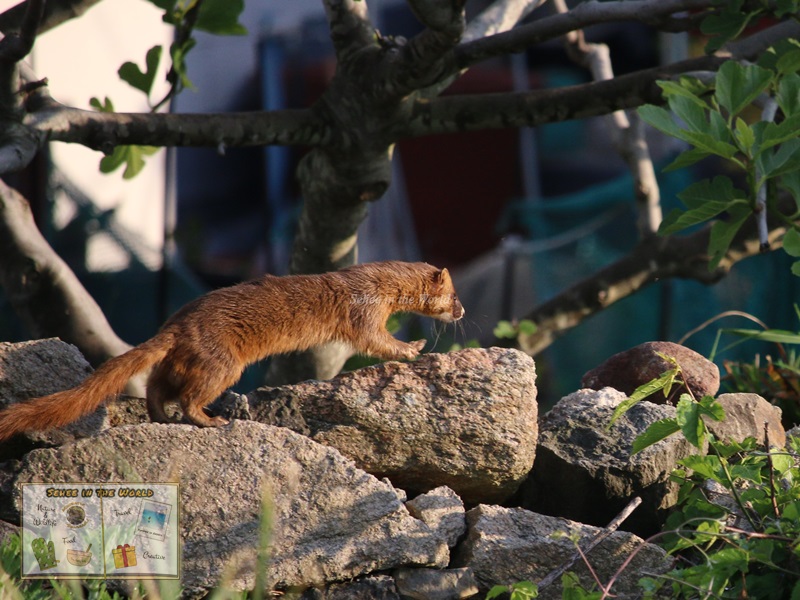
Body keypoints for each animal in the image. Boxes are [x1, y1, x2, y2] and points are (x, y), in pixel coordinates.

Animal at [0, 262, 462, 440]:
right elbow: (373, 340)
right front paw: (413, 347)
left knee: (157, 386)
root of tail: (177, 324)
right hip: (223, 361)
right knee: (189, 394)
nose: (462, 310)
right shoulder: (364, 310)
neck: (376, 281)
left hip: (184, 357)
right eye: (454, 296)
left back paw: (161, 416)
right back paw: (210, 419)